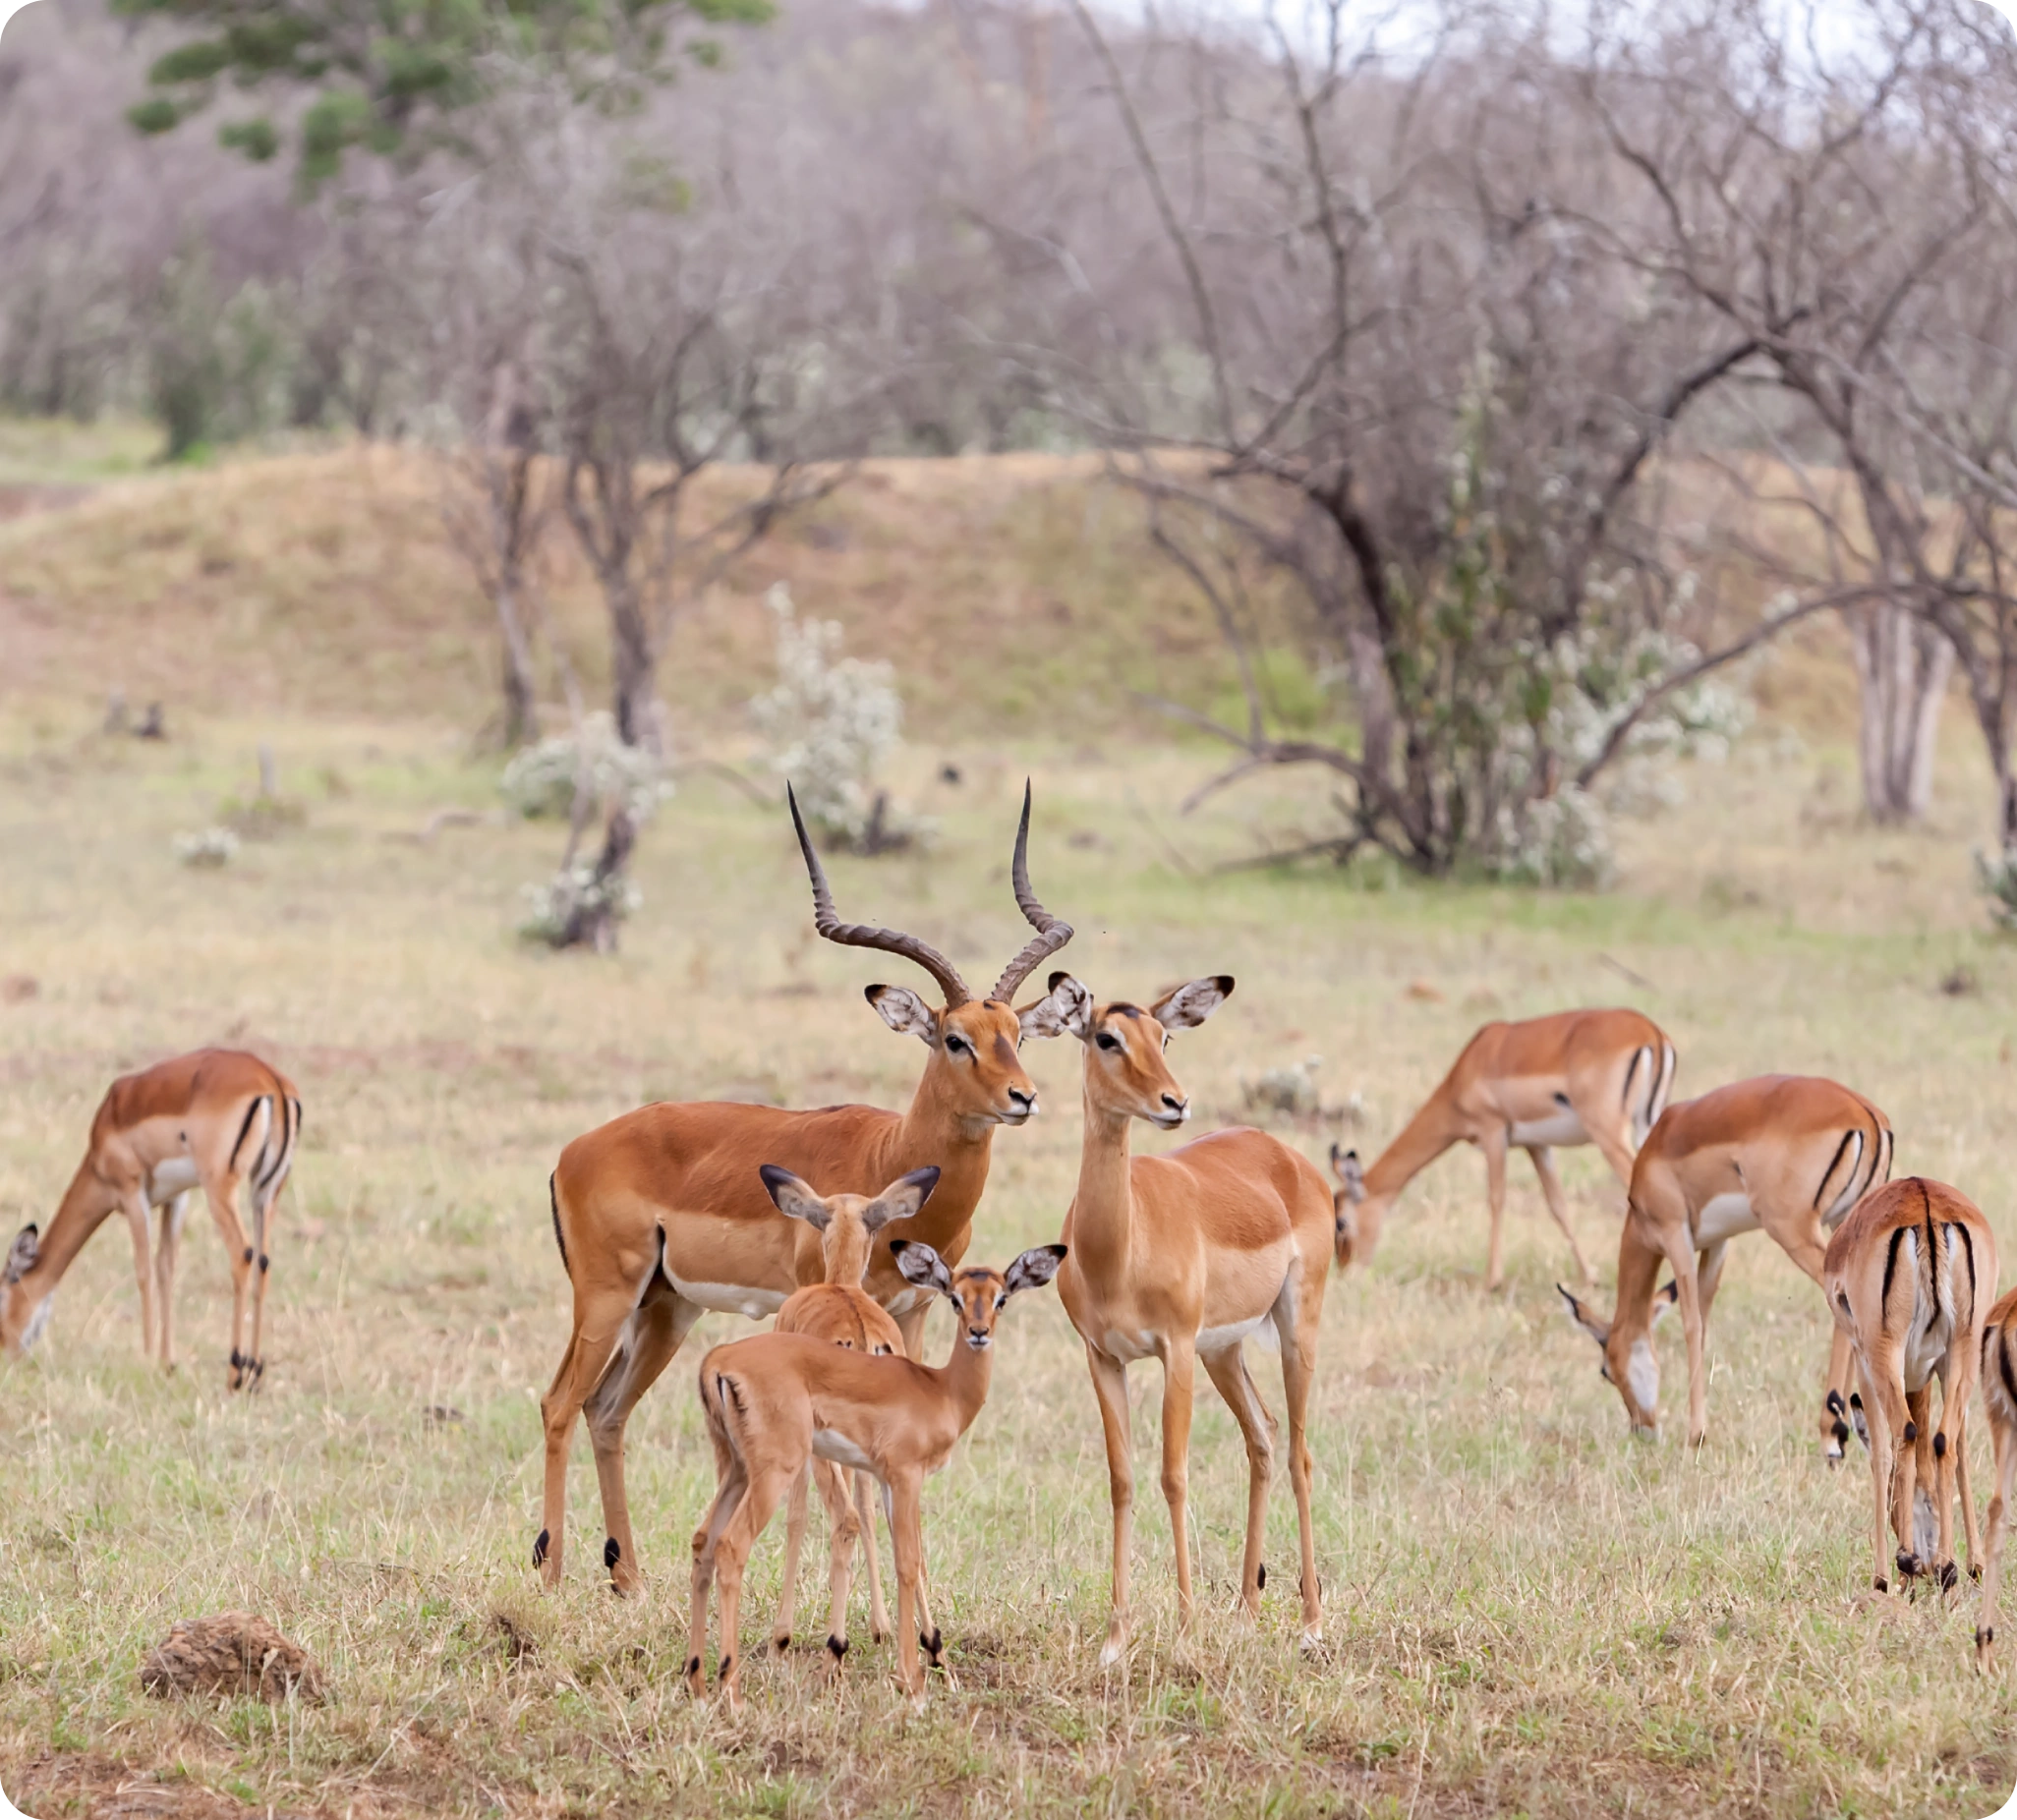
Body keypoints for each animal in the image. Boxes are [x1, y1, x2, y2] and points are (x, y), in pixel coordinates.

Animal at [685, 1241, 1065, 1709]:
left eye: (1001, 1298)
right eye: (955, 1299)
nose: (979, 1332)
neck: (940, 1390)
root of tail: (719, 1360)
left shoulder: (886, 1481)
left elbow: (911, 1557)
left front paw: (935, 1662)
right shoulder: (906, 1476)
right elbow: (907, 1562)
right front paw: (912, 1681)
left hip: (737, 1469)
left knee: (703, 1540)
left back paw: (697, 1682)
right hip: (775, 1470)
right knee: (732, 1546)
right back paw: (733, 1690)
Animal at [758, 1161, 940, 1660]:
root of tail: (860, 1334)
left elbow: (797, 1516)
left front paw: (783, 1634)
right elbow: (875, 1515)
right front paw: (880, 1627)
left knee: (845, 1519)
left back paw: (833, 1644)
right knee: (899, 1526)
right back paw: (931, 1642)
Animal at [1024, 975, 1339, 1669]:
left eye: (1163, 1036)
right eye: (1106, 1037)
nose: (1175, 1102)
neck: (1118, 1249)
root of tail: (1282, 1152)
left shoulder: (1172, 1351)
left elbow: (1173, 1476)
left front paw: (1187, 1634)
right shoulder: (1103, 1357)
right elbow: (1121, 1479)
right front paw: (1116, 1639)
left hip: (1294, 1327)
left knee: (1299, 1451)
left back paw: (1310, 1624)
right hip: (1221, 1353)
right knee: (1263, 1436)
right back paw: (1246, 1615)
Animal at [1831, 1176, 2000, 1604]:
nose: (1922, 1562)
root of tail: (1923, 1198)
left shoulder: (1865, 1361)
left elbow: (1882, 1455)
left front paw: (1884, 1577)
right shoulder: (1933, 1368)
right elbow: (1958, 1451)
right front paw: (1973, 1565)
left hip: (1884, 1354)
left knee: (1906, 1435)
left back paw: (1906, 1565)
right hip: (1964, 1350)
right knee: (1945, 1440)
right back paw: (1948, 1566)